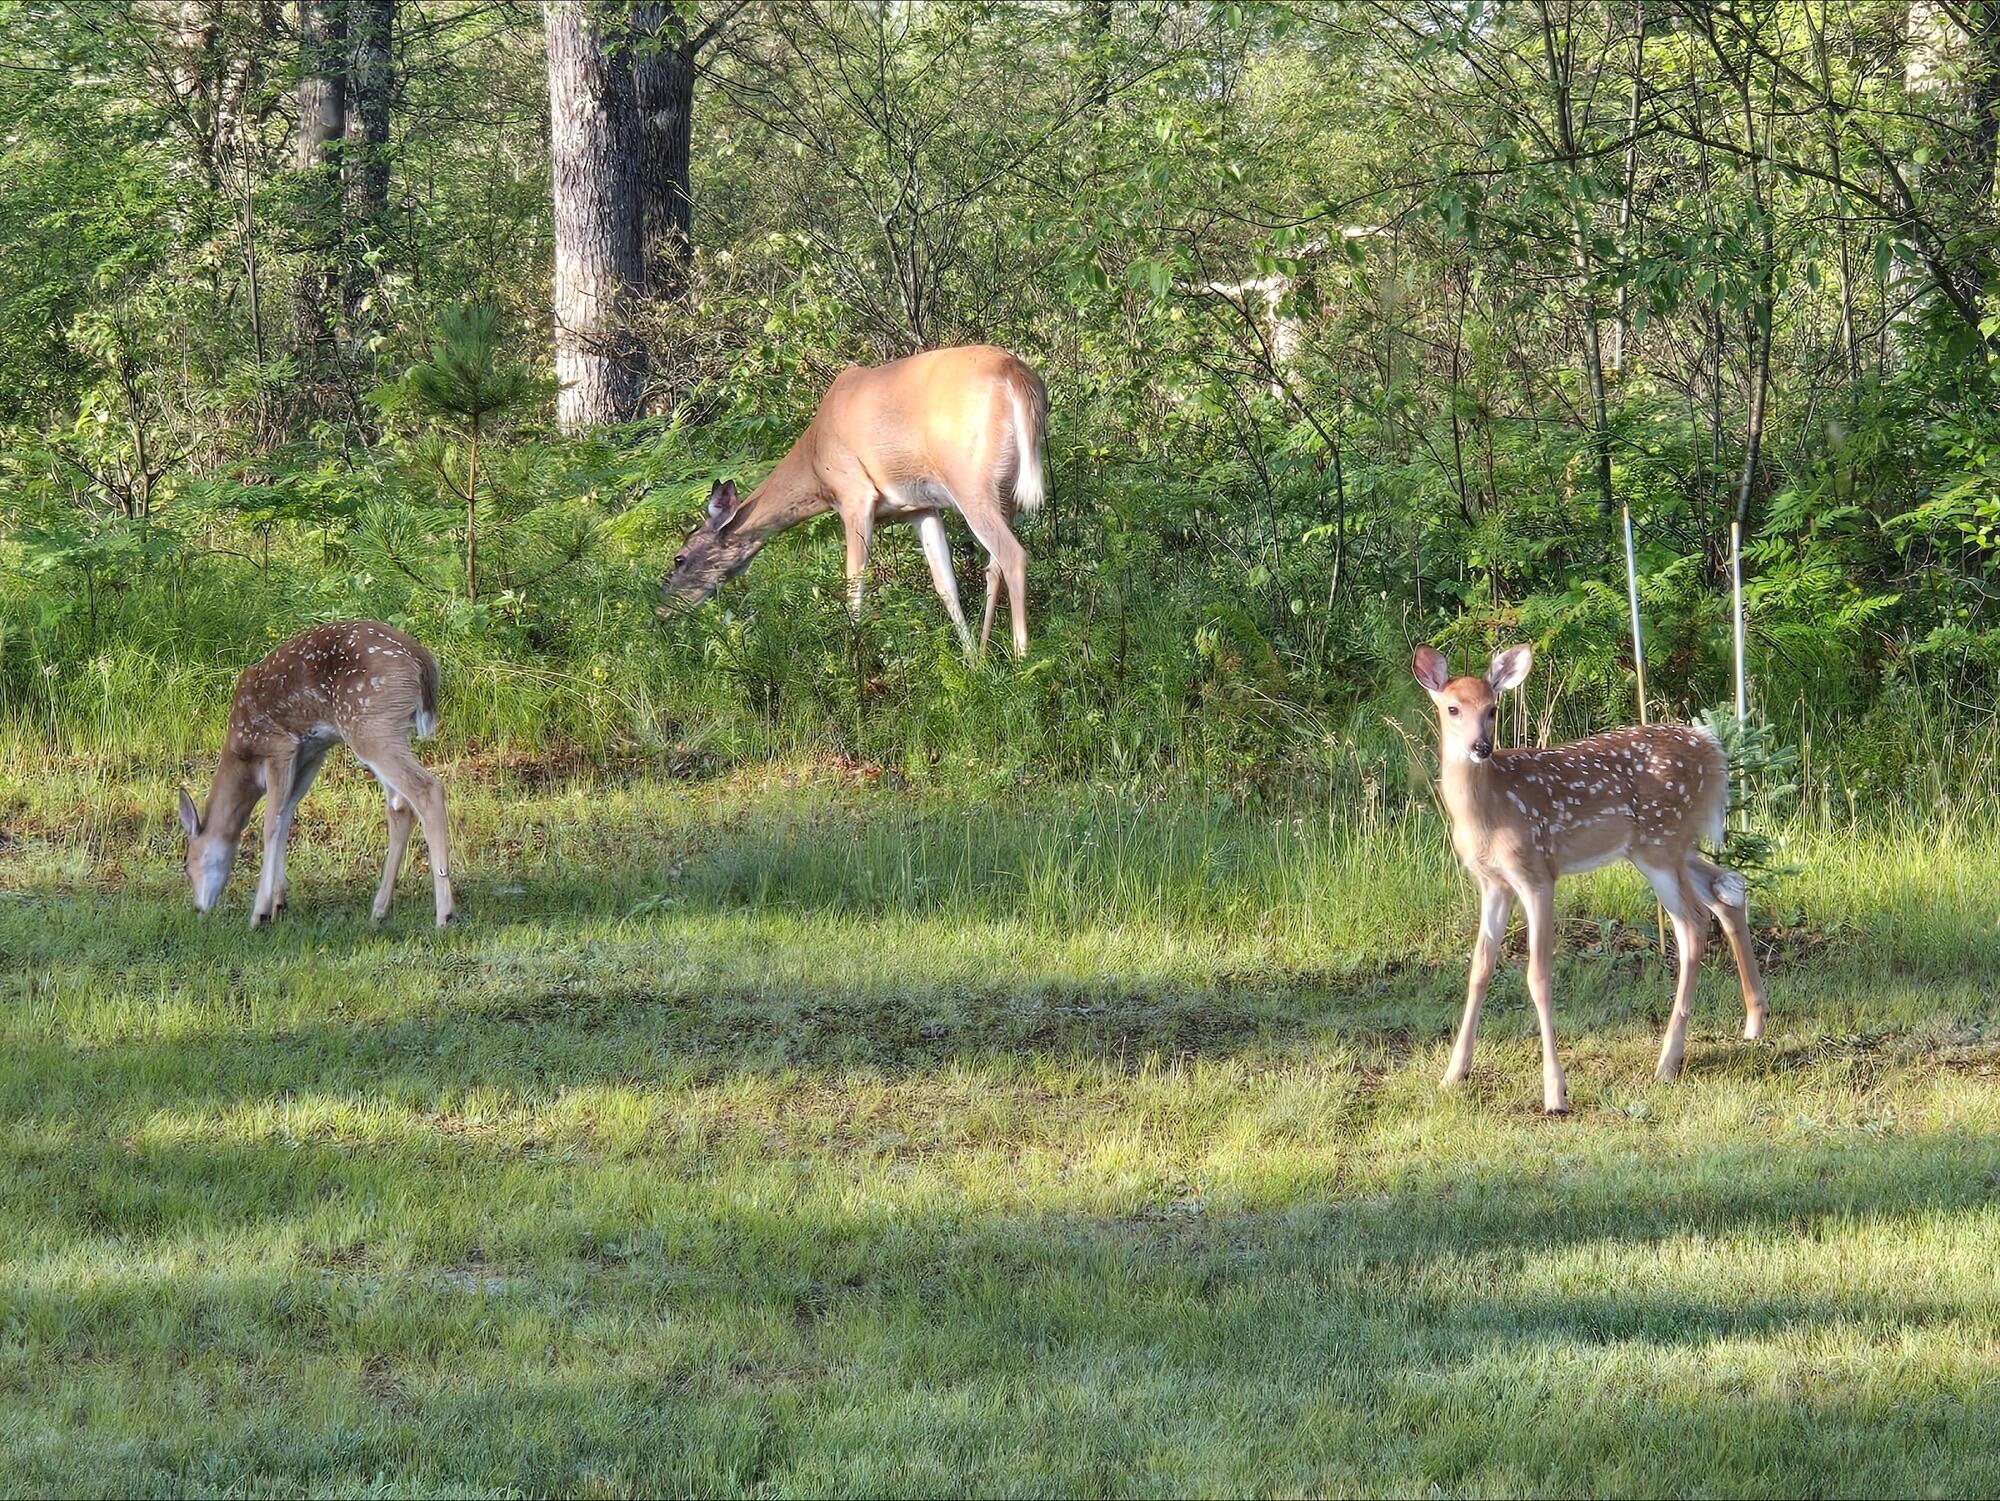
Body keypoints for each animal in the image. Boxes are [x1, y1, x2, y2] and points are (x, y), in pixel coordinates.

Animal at [176, 621, 455, 928]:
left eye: (187, 864)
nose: (198, 908)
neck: (242, 756)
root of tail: (422, 660)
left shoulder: (279, 747)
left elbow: (270, 825)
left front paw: (260, 913)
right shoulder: (310, 754)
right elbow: (285, 817)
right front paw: (279, 902)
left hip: (369, 725)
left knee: (427, 789)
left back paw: (444, 915)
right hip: (386, 730)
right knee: (400, 806)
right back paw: (380, 911)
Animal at [661, 344, 1047, 657]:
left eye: (680, 558)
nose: (661, 609)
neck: (815, 462)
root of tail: (1015, 372)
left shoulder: (854, 495)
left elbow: (854, 586)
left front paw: (857, 660)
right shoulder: (920, 507)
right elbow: (945, 586)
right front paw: (969, 660)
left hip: (969, 482)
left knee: (1013, 555)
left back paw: (1022, 658)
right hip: (1005, 491)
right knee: (993, 565)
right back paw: (985, 650)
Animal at [1413, 643, 1768, 1114]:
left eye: (1492, 709)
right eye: (1453, 708)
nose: (1481, 747)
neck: (1490, 810)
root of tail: (1714, 750)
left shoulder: (1538, 872)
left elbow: (1538, 976)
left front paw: (1555, 1092)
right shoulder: (1493, 883)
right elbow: (1479, 968)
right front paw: (1454, 1073)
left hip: (1659, 842)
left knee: (1693, 923)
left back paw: (1668, 1061)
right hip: (1671, 845)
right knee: (1729, 886)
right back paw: (1754, 1022)